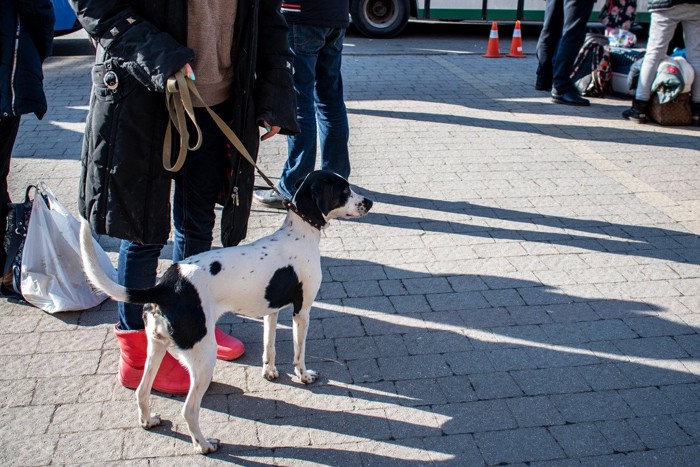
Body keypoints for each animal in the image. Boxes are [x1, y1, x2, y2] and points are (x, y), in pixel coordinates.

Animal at [78, 171, 372, 454]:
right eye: (343, 190)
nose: (369, 202)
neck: (297, 233)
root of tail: (168, 285)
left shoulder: (271, 310)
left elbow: (270, 346)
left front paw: (270, 372)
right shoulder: (302, 311)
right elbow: (299, 353)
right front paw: (303, 376)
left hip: (157, 347)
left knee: (141, 390)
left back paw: (148, 420)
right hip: (204, 357)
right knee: (189, 410)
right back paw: (204, 445)